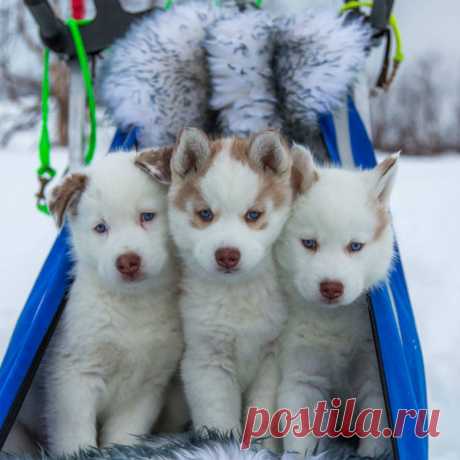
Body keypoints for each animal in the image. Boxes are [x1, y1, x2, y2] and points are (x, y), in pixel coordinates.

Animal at [18, 152, 183, 456]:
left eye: (147, 216)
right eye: (101, 228)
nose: (127, 262)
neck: (133, 304)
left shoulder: (146, 389)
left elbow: (122, 436)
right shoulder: (73, 381)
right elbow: (76, 438)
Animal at [165, 128, 292, 442]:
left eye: (253, 215)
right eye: (205, 214)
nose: (227, 255)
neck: (238, 293)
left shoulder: (272, 358)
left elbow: (263, 413)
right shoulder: (207, 361)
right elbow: (219, 417)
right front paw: (223, 444)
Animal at [274, 147, 398, 456]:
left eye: (355, 246)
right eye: (309, 243)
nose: (331, 287)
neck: (333, 322)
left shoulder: (374, 382)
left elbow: (375, 438)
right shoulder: (302, 377)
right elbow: (300, 438)